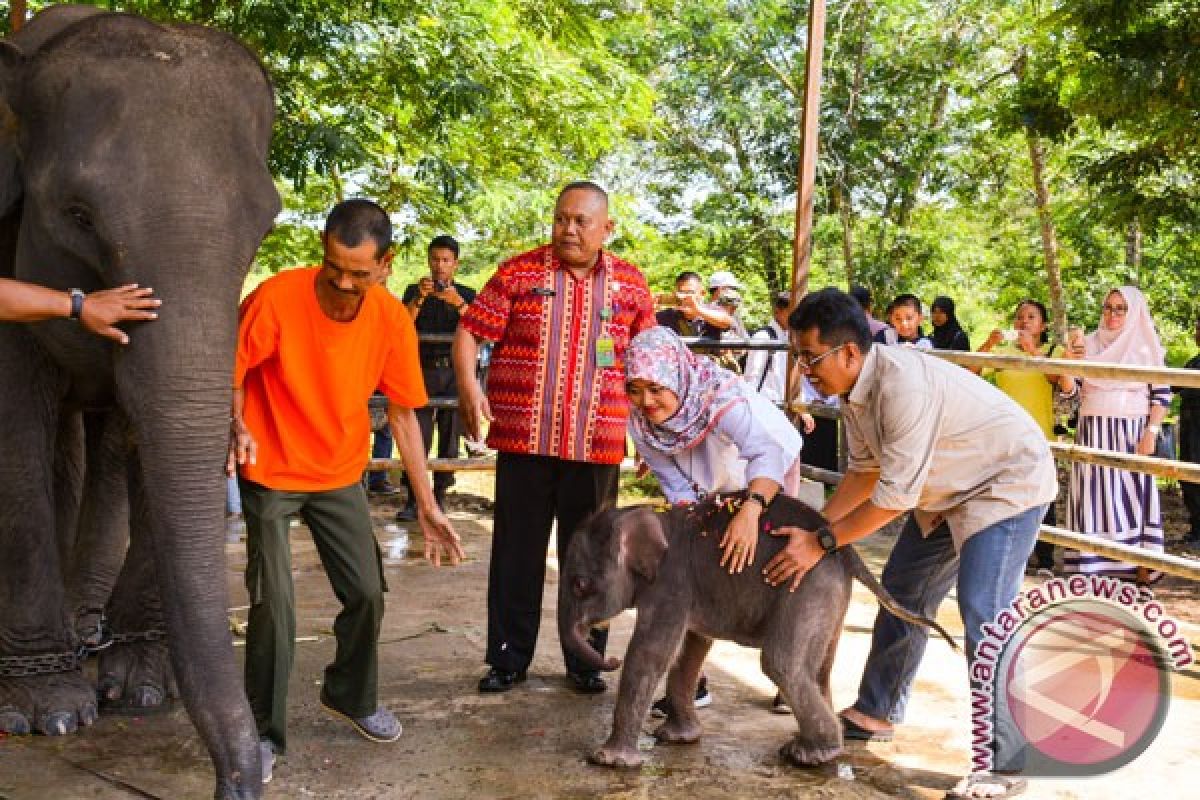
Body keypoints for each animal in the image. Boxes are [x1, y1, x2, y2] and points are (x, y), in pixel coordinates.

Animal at [0, 6, 279, 800]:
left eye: (267, 223)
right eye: (77, 215)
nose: (246, 779)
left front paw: (141, 688)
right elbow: (15, 431)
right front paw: (47, 713)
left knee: (101, 449)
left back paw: (93, 633)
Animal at [559, 494, 955, 767]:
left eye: (580, 584)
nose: (608, 659)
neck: (646, 515)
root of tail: (845, 552)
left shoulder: (670, 586)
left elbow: (651, 654)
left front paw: (607, 761)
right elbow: (692, 649)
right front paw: (678, 739)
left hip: (803, 588)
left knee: (781, 664)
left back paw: (808, 756)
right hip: (830, 601)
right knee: (819, 669)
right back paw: (822, 749)